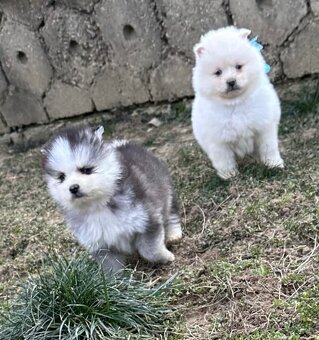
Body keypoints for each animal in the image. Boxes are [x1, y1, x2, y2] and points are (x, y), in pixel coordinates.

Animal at [42, 125, 182, 270]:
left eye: (86, 170)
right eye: (61, 177)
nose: (73, 188)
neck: (98, 206)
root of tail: (123, 144)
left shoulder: (148, 220)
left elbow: (150, 251)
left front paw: (167, 257)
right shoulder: (102, 246)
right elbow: (111, 269)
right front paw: (120, 277)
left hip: (167, 191)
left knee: (171, 214)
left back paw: (174, 235)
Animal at [192, 25, 284, 181]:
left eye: (238, 66)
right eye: (218, 72)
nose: (231, 81)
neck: (235, 103)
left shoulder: (263, 127)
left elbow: (269, 147)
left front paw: (274, 164)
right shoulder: (218, 141)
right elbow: (224, 160)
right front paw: (229, 175)